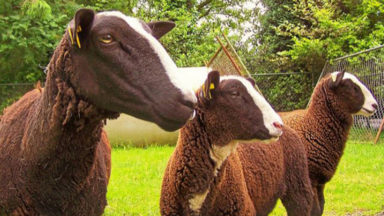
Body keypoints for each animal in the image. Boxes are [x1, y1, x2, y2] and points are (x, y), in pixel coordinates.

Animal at [280, 70, 378, 214]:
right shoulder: (308, 180)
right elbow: (313, 210)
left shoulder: (320, 182)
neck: (314, 125)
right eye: (351, 86)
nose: (375, 105)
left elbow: (320, 208)